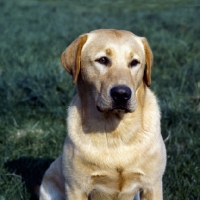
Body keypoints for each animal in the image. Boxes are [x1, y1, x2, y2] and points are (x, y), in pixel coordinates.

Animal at [39, 28, 166, 199]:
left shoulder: (152, 185)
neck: (115, 132)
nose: (121, 94)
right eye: (103, 60)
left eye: (134, 62)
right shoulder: (76, 188)